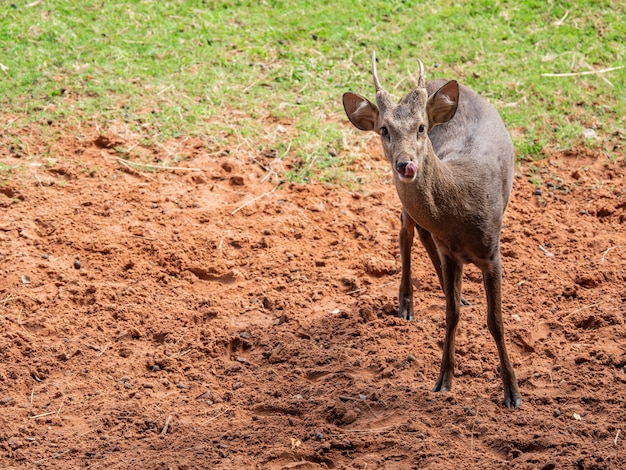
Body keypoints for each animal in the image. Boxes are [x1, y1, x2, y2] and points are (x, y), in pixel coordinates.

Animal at [338, 52, 520, 408]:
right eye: (384, 129)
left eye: (421, 127)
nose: (405, 164)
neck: (459, 216)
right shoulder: (451, 252)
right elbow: (451, 315)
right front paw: (443, 380)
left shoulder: (492, 250)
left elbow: (494, 321)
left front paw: (512, 393)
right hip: (408, 214)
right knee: (406, 232)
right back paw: (407, 303)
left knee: (422, 236)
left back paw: (459, 295)